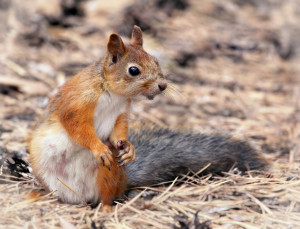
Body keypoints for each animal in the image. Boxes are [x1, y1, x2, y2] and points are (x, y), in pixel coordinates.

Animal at [28, 26, 268, 210]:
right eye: (133, 70)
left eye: (156, 61)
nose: (163, 85)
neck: (112, 93)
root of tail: (79, 197)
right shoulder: (76, 104)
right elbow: (78, 128)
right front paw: (98, 147)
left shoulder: (122, 112)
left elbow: (119, 131)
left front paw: (129, 148)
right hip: (45, 169)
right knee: (57, 193)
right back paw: (40, 196)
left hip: (109, 173)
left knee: (106, 196)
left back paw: (105, 208)